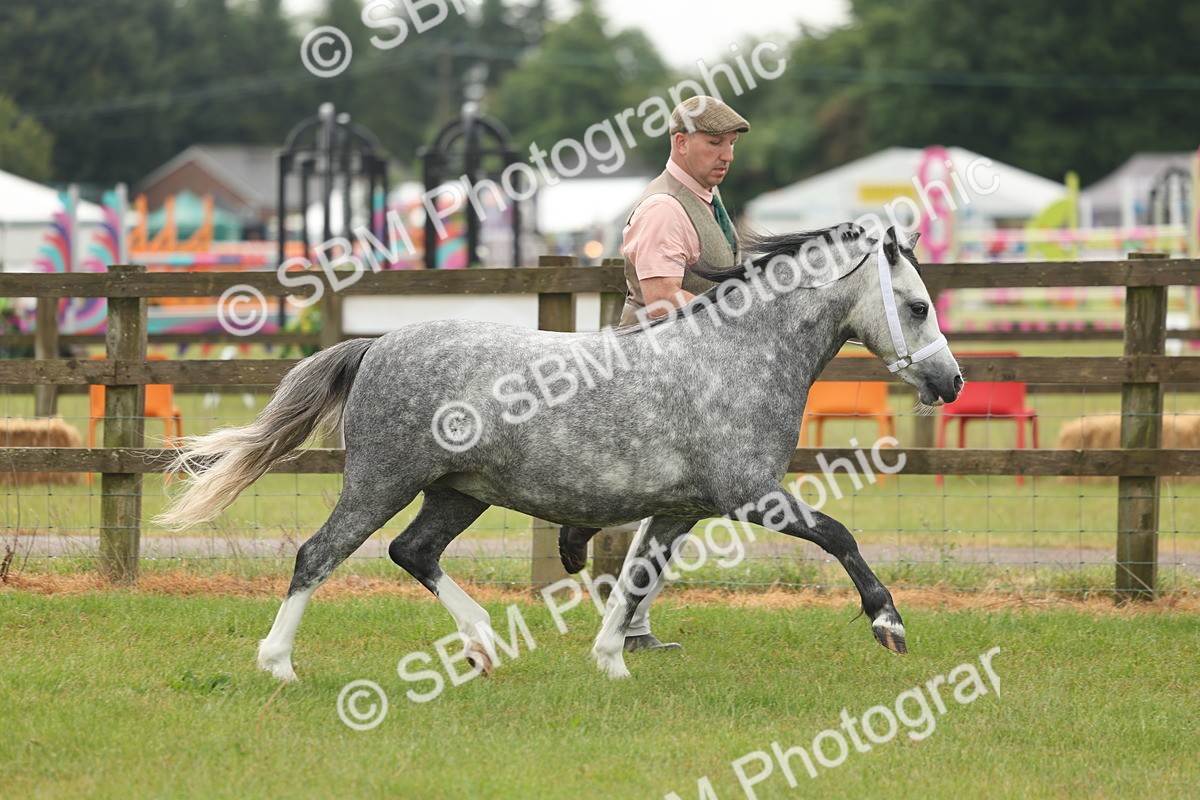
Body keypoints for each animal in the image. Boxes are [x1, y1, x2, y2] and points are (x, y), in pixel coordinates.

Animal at [156, 224, 962, 681]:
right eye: (918, 305)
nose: (950, 381)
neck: (737, 357)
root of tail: (375, 345)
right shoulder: (752, 495)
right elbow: (840, 536)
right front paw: (889, 625)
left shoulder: (683, 510)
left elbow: (636, 577)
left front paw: (611, 661)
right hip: (382, 481)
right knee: (318, 555)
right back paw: (278, 665)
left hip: (458, 491)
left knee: (412, 553)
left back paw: (483, 645)